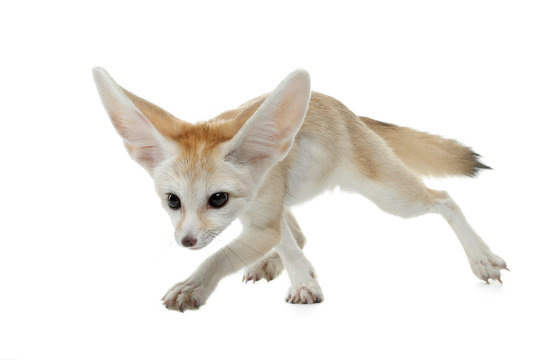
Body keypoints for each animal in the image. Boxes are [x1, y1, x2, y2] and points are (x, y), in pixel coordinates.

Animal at [92, 68, 506, 312]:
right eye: (172, 201)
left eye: (218, 199)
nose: (186, 242)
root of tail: (344, 110)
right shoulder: (261, 218)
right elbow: (286, 242)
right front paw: (301, 277)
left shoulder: (261, 221)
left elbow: (221, 257)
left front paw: (193, 285)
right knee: (298, 234)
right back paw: (282, 266)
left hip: (393, 197)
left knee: (445, 200)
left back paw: (482, 258)